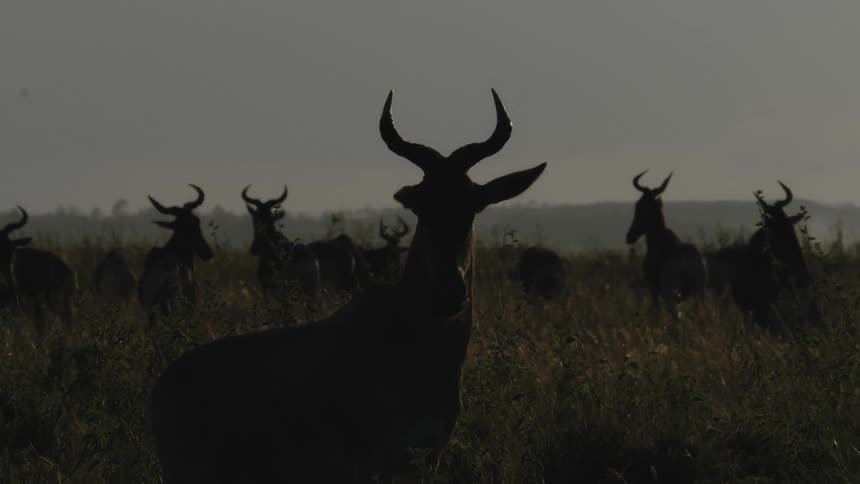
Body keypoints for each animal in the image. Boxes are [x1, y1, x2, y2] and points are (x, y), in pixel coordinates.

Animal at [626, 171, 707, 313]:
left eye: (639, 205)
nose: (630, 236)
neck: (662, 240)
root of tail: (686, 260)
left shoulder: (654, 290)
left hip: (670, 295)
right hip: (698, 293)